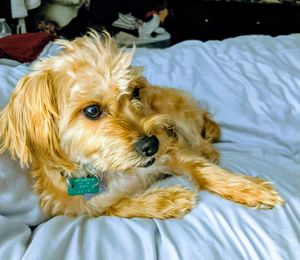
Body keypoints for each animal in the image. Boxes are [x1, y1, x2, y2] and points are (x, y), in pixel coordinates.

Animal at [0, 32, 284, 219]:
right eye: (92, 111)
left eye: (135, 92)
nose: (151, 145)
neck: (109, 170)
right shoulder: (87, 208)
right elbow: (121, 206)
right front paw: (168, 200)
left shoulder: (171, 148)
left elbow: (202, 169)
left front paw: (249, 189)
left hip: (174, 113)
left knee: (200, 137)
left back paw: (208, 149)